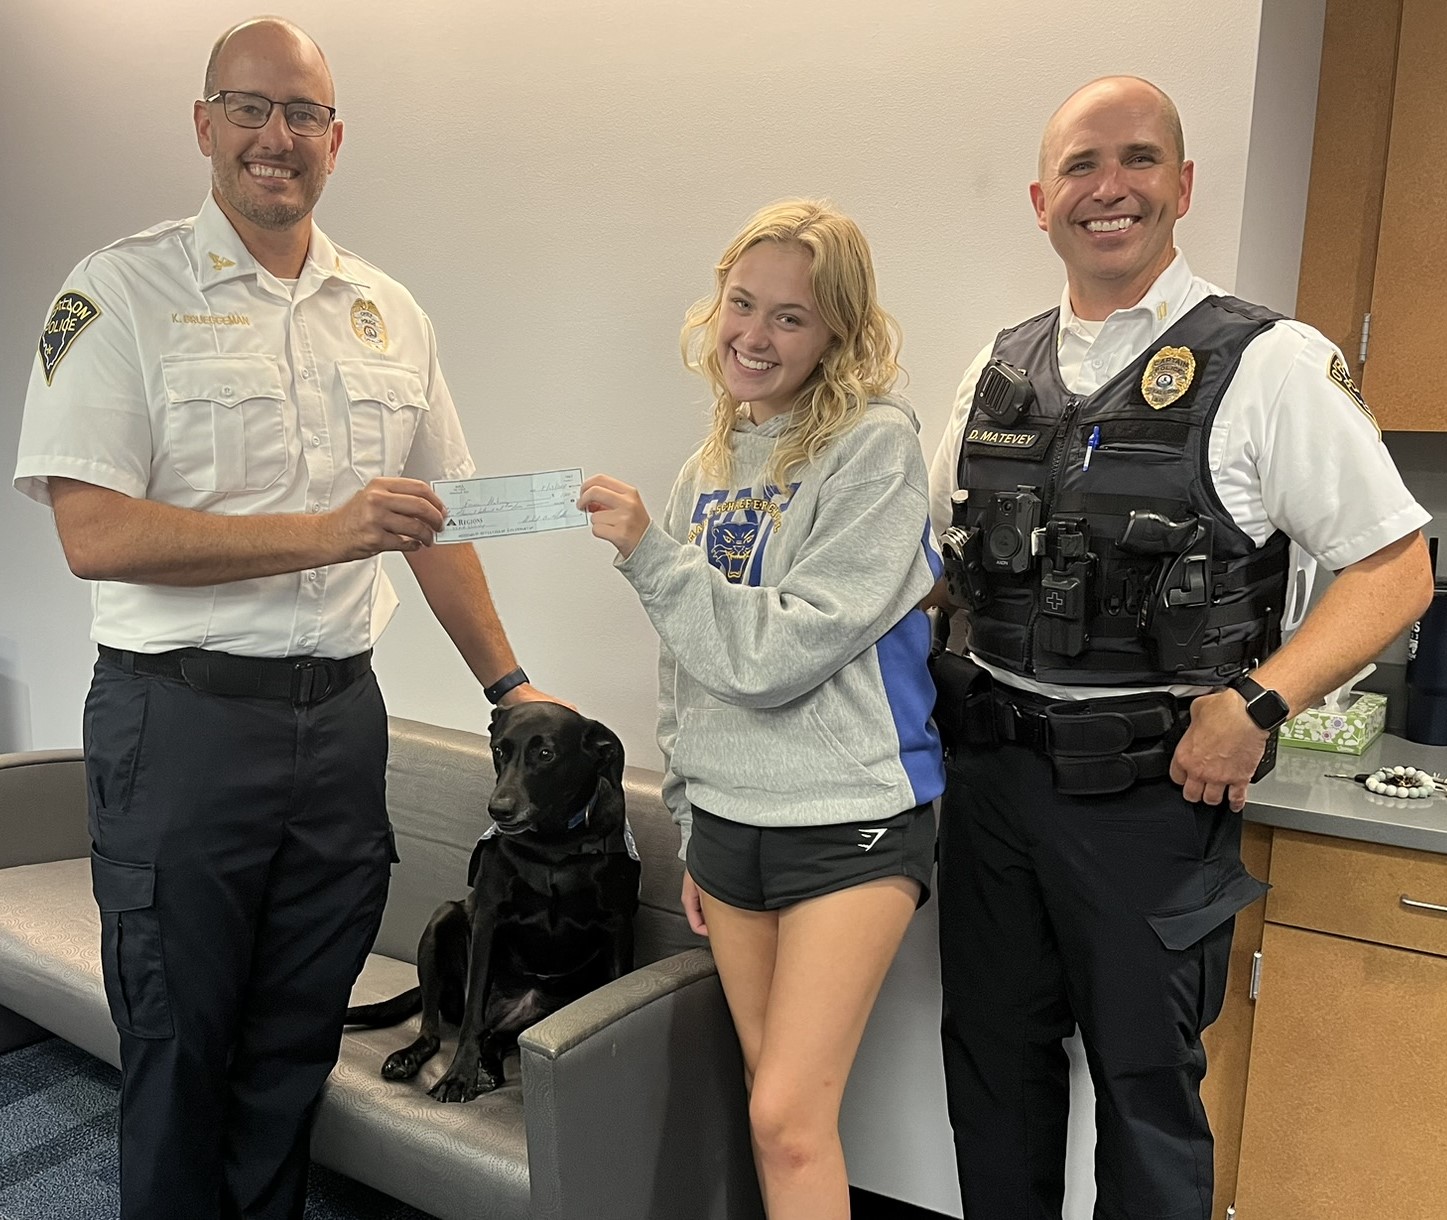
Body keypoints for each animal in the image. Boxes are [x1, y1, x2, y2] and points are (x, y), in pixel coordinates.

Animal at [344, 700, 639, 1099]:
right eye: (499, 750)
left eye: (545, 754)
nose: (498, 809)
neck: (553, 846)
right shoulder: (487, 918)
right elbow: (472, 1017)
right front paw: (458, 1075)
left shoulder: (619, 927)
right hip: (442, 924)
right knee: (437, 1028)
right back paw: (414, 1057)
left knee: (497, 1038)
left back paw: (489, 1068)